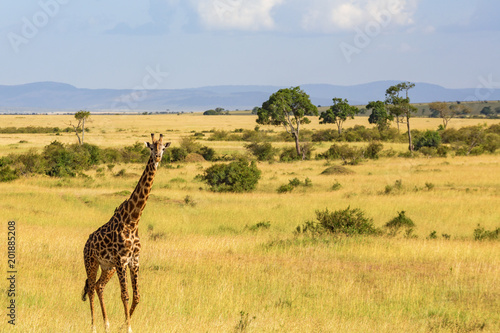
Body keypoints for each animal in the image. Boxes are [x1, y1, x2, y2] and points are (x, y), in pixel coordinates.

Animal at [81, 133, 169, 332]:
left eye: (163, 148)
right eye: (151, 147)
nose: (157, 157)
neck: (133, 220)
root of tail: (86, 243)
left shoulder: (134, 260)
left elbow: (136, 296)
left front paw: (122, 325)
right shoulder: (121, 261)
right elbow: (125, 295)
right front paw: (128, 327)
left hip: (108, 267)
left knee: (99, 286)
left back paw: (106, 324)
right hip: (91, 262)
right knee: (90, 288)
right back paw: (94, 326)